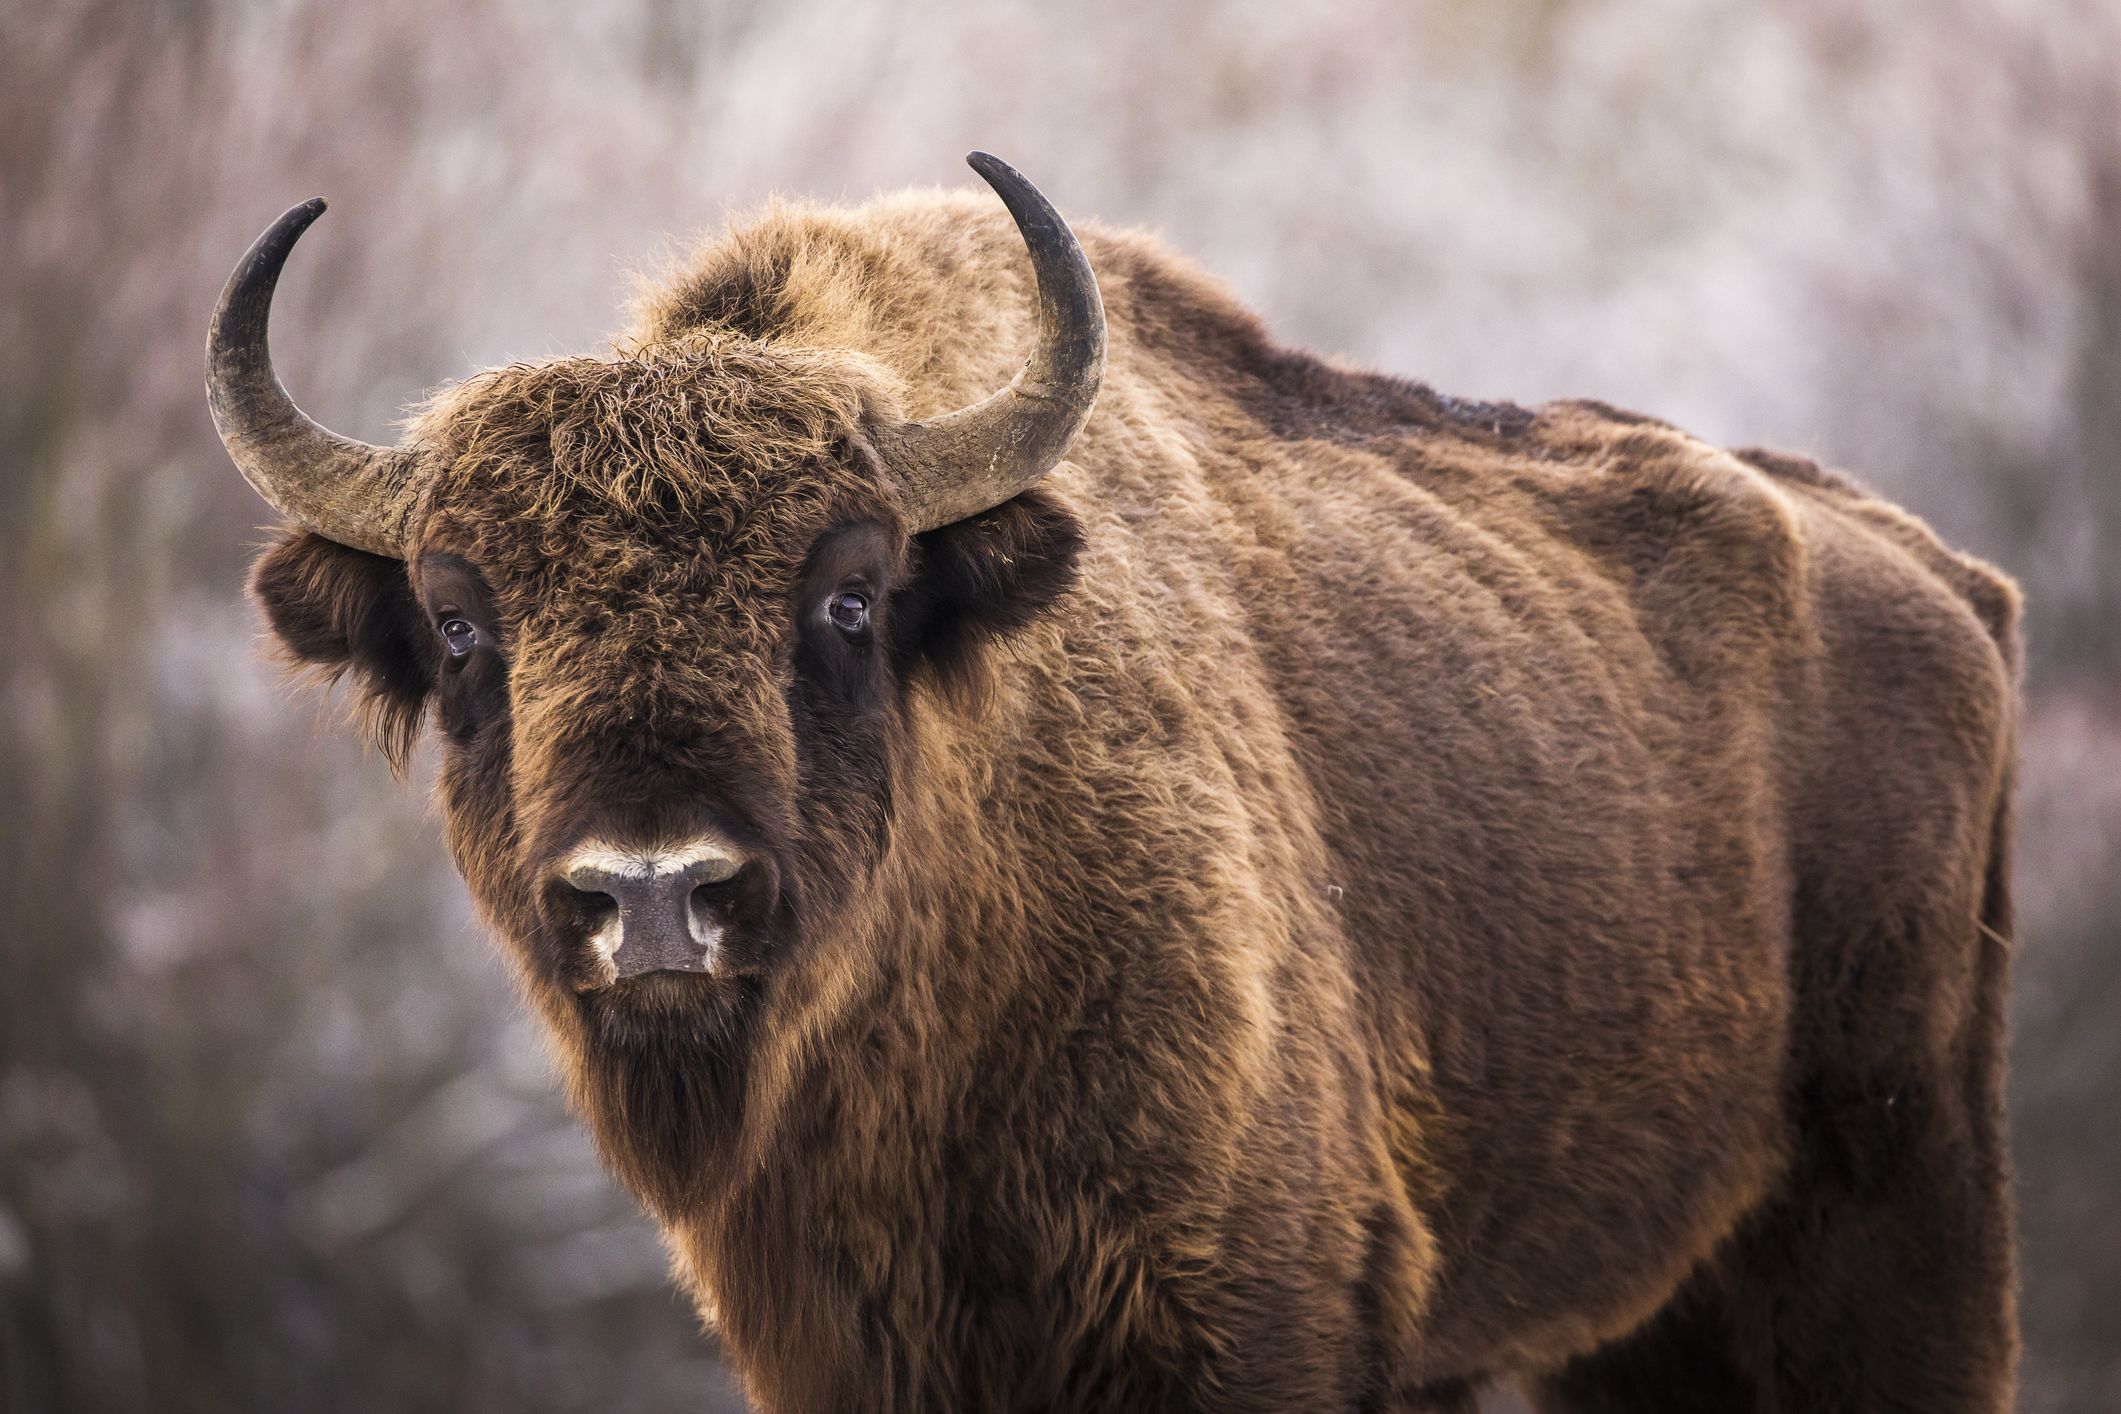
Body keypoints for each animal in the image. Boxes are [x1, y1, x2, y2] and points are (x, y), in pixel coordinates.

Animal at [211, 157, 2019, 1414]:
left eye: (849, 592)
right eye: (460, 622)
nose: (654, 891)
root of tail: (1945, 580)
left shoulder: (1246, 1321)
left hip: (1894, 1226)